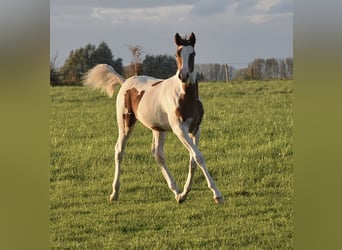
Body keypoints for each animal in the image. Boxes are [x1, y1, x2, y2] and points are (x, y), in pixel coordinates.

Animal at [83, 32, 224, 203]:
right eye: (177, 53)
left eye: (193, 54)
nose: (183, 75)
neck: (185, 95)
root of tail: (125, 82)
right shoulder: (179, 129)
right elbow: (198, 156)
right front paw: (217, 194)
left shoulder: (195, 129)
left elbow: (193, 160)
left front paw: (183, 194)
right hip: (125, 123)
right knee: (119, 151)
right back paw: (114, 193)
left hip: (158, 129)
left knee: (158, 154)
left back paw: (175, 191)